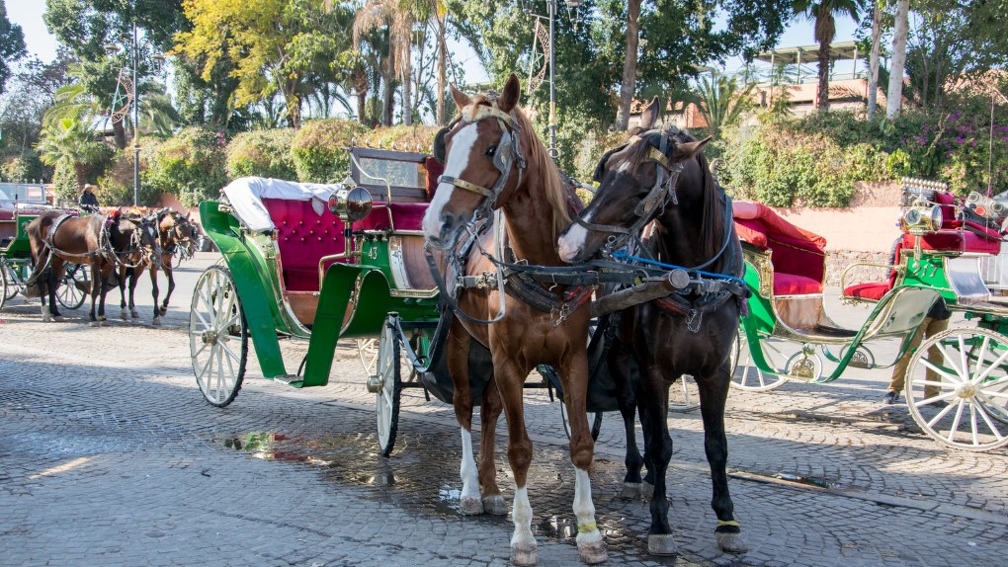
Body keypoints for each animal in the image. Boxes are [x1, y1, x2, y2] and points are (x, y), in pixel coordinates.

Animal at [419, 74, 604, 560]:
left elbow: (581, 444)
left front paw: (590, 531)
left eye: (490, 149)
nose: (434, 223)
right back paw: (470, 491)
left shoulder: (573, 360)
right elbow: (519, 448)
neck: (545, 269)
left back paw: (490, 489)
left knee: (489, 410)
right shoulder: (507, 362)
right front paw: (523, 535)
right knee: (466, 407)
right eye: (447, 144)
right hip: (462, 341)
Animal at [556, 99, 753, 552]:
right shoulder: (654, 369)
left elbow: (716, 445)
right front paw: (660, 524)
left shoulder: (716, 372)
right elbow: (662, 443)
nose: (568, 244)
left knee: (646, 417)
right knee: (633, 411)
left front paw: (727, 519)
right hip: (623, 355)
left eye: (641, 187)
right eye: (606, 171)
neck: (693, 283)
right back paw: (634, 472)